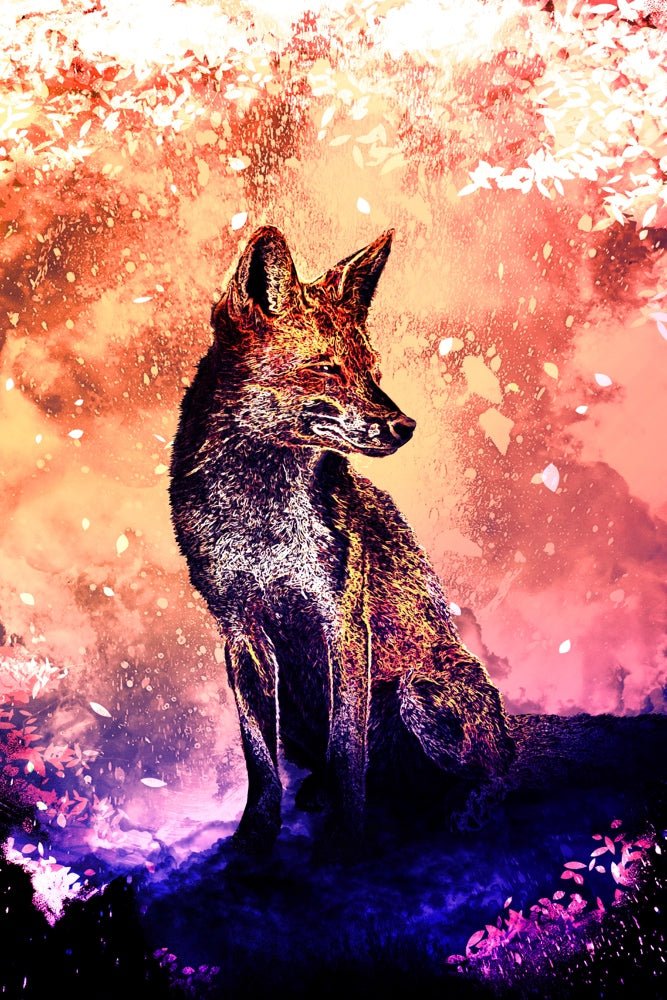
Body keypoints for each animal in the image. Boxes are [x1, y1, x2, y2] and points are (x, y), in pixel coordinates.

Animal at [169, 226, 667, 852]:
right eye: (328, 370)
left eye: (373, 371)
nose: (405, 427)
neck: (258, 517)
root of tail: (509, 725)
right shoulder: (239, 631)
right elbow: (260, 763)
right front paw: (254, 843)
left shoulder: (341, 620)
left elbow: (347, 749)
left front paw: (346, 843)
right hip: (308, 720)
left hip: (421, 694)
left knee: (493, 773)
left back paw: (465, 808)